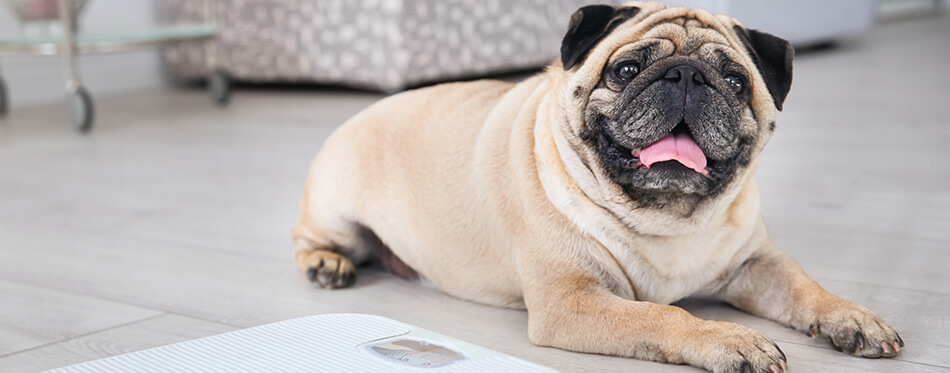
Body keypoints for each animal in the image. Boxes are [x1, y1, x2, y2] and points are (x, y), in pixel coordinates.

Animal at [294, 1, 904, 370]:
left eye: (734, 81)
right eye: (626, 71)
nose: (688, 76)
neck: (665, 217)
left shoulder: (755, 263)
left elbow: (805, 287)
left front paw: (852, 317)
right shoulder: (573, 301)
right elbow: (664, 315)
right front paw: (727, 339)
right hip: (335, 211)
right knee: (310, 238)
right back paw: (327, 264)